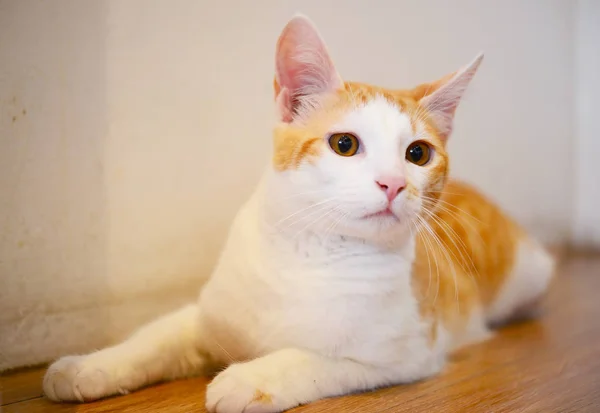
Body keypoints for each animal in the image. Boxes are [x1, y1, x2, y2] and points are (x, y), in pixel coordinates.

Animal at [44, 13, 556, 412]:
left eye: (417, 153)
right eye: (344, 144)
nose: (393, 183)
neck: (313, 252)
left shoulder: (405, 355)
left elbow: (311, 358)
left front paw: (251, 377)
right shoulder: (206, 318)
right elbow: (156, 336)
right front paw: (88, 366)